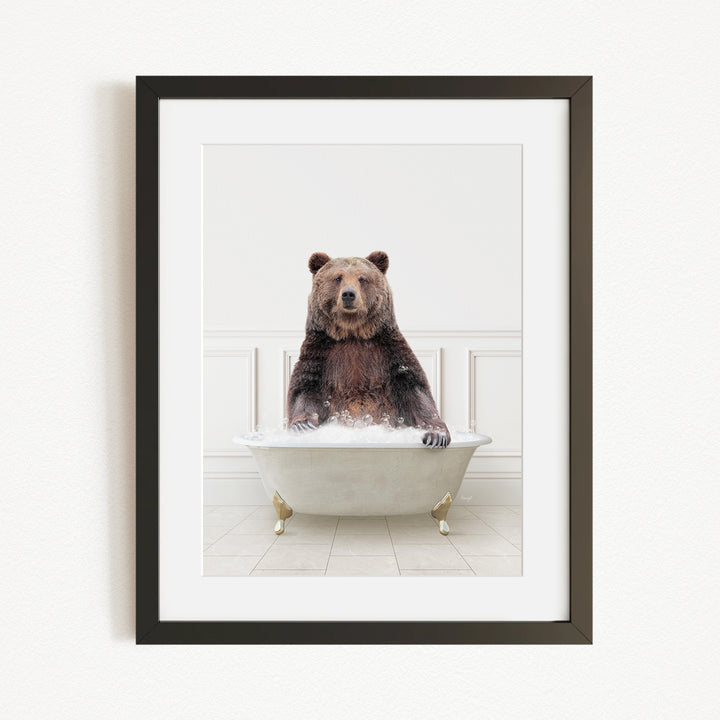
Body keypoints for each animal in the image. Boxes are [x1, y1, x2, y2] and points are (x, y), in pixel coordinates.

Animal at [287, 251, 451, 447]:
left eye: (362, 278)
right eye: (338, 277)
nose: (348, 294)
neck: (352, 333)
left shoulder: (388, 352)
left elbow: (415, 390)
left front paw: (436, 435)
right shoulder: (321, 353)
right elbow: (305, 388)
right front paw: (302, 425)